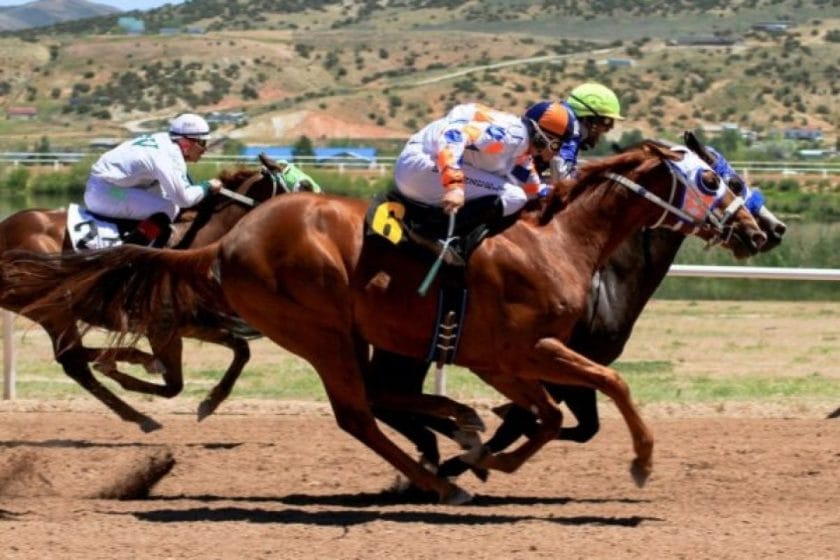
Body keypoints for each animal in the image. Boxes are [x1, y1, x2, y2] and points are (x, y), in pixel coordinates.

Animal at [0, 158, 290, 434]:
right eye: (296, 185)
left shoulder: (192, 325)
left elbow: (241, 351)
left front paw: (211, 401)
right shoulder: (161, 328)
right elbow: (174, 384)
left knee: (75, 360)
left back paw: (135, 400)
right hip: (53, 308)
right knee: (74, 359)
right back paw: (134, 378)